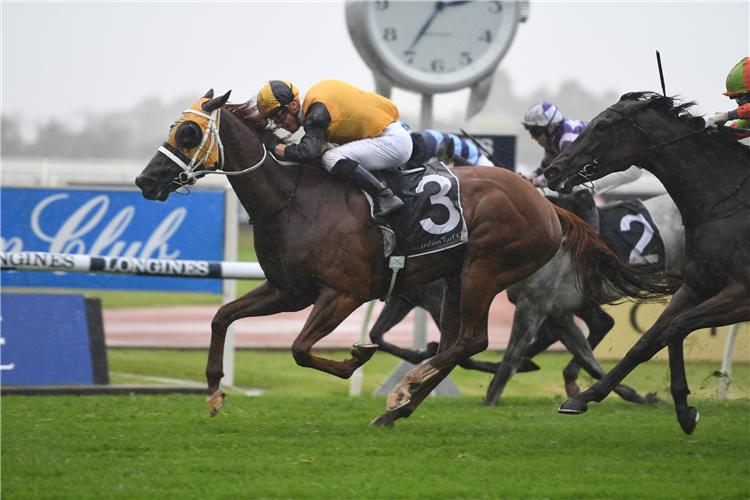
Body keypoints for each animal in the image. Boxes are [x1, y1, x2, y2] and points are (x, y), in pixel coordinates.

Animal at [135, 90, 676, 426]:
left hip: (484, 272)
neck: (294, 199)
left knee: (472, 340)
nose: (145, 180)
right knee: (460, 343)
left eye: (187, 133)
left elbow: (301, 349)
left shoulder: (344, 293)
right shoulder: (288, 290)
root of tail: (547, 204)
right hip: (459, 281)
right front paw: (213, 391)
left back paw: (403, 395)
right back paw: (401, 406)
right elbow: (222, 317)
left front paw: (356, 359)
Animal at [548, 92, 750, 436]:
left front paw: (684, 408)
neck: (725, 200)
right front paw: (584, 397)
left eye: (602, 126)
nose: (553, 170)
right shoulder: (695, 287)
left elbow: (676, 328)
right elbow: (646, 341)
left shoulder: (742, 295)